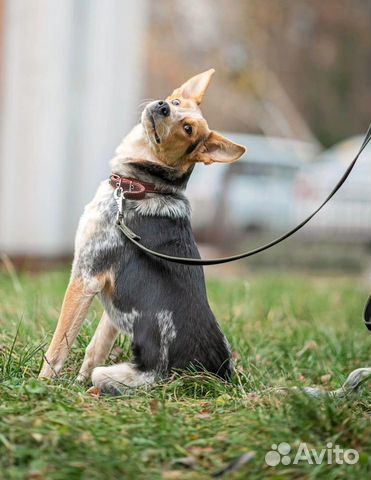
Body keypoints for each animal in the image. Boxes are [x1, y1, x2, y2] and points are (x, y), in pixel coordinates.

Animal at [38, 71, 247, 394]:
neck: (139, 187)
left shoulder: (85, 278)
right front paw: (76, 384)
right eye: (176, 102)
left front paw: (41, 385)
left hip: (121, 374)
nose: (163, 106)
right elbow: (96, 348)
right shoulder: (114, 303)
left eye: (187, 128)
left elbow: (58, 345)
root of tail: (214, 379)